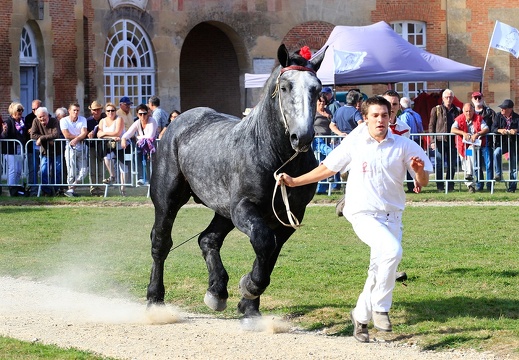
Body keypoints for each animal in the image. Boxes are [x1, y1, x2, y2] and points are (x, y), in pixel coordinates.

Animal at [147, 44, 324, 318]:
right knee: (161, 243)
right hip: (168, 199)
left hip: (223, 211)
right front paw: (249, 288)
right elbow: (263, 242)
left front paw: (249, 306)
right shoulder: (244, 208)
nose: (302, 137)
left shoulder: (288, 217)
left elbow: (269, 254)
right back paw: (155, 298)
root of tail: (178, 122)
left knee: (208, 239)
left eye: (317, 88)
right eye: (285, 87)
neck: (271, 153)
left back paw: (216, 291)